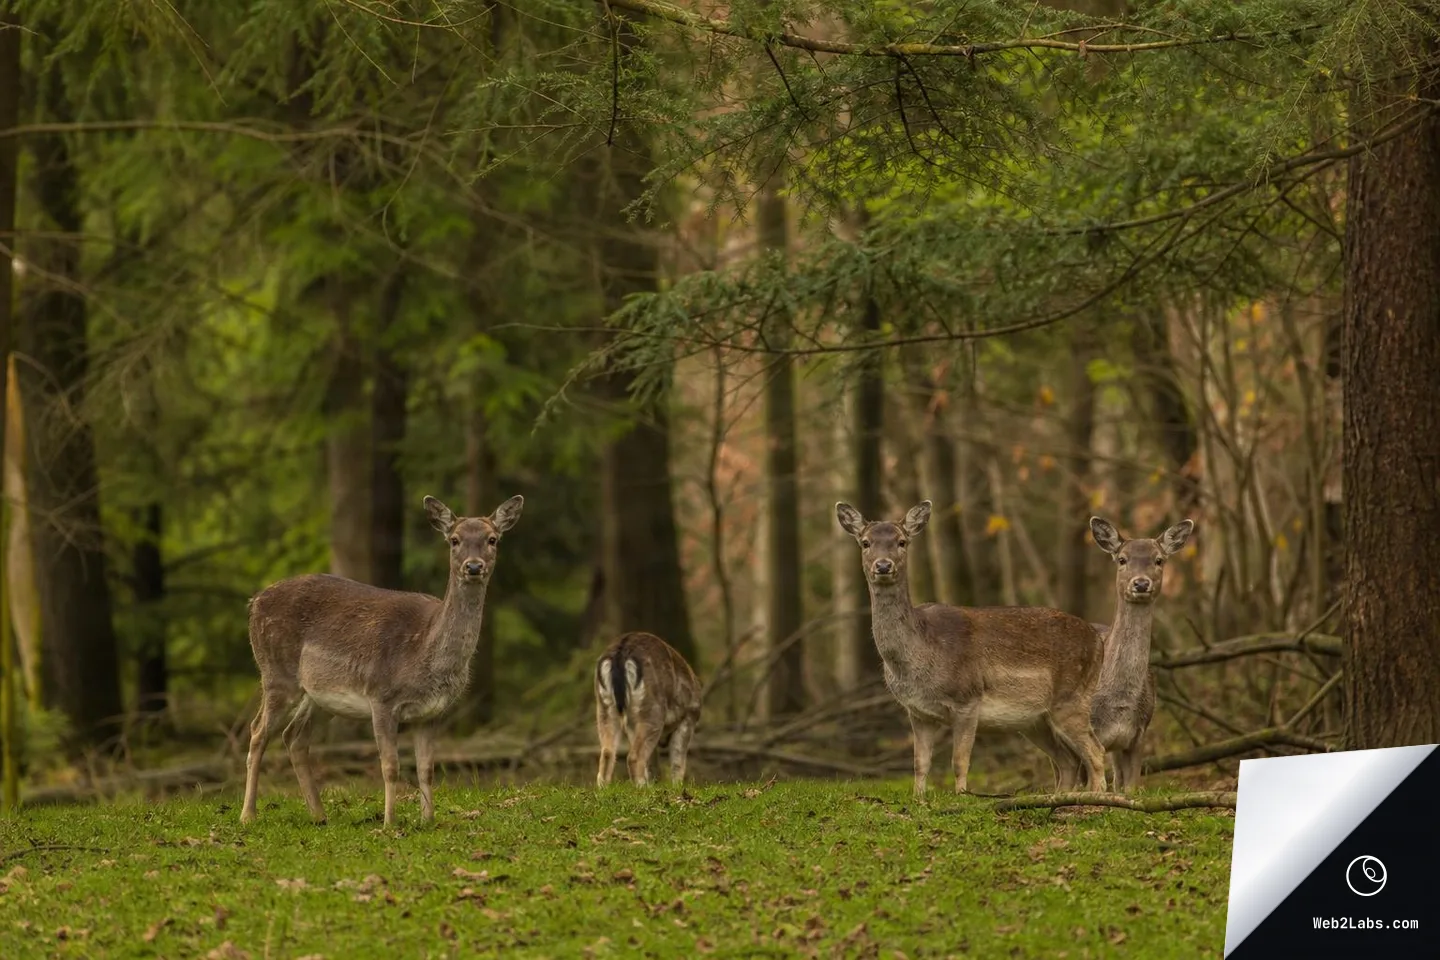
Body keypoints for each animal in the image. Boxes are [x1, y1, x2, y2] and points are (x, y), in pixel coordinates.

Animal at [240, 493, 524, 827]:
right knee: (258, 732)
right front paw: (390, 823)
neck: (424, 653)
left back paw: (320, 815)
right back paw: (248, 815)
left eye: (492, 539)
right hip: (275, 673)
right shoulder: (382, 696)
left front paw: (428, 820)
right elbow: (390, 766)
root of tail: (254, 602)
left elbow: (427, 768)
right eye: (454, 540)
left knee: (294, 737)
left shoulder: (433, 712)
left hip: (319, 695)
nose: (474, 566)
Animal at [594, 631, 701, 787]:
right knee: (634, 756)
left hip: (605, 705)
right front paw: (676, 786)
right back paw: (641, 786)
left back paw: (605, 788)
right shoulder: (689, 716)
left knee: (607, 752)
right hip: (652, 710)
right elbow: (677, 761)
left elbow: (651, 763)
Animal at [836, 499, 1109, 797]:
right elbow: (920, 762)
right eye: (865, 542)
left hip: (1071, 697)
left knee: (1096, 751)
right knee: (1068, 760)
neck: (920, 657)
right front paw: (919, 797)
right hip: (1035, 721)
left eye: (901, 541)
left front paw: (962, 795)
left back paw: (1096, 796)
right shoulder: (917, 711)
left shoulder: (967, 698)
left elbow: (959, 760)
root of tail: (1098, 640)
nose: (883, 566)